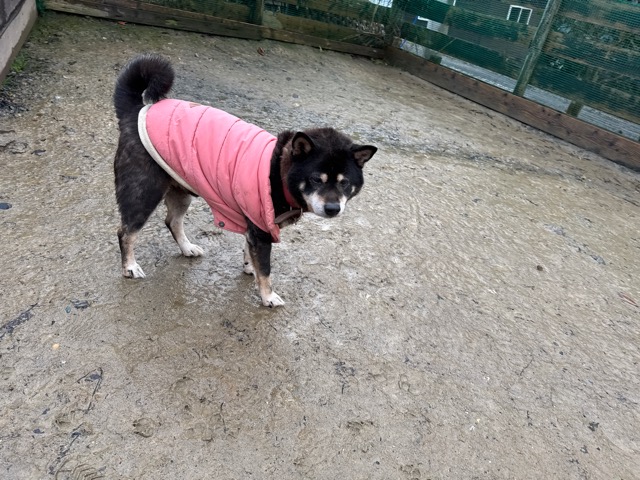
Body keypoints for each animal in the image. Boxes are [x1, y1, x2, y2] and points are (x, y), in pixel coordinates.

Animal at [113, 54, 377, 307]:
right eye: (315, 179)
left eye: (344, 182)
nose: (333, 208)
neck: (278, 172)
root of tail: (136, 111)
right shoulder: (262, 231)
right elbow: (267, 269)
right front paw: (268, 296)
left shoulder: (253, 226)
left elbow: (251, 254)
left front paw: (250, 268)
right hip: (144, 193)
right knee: (126, 232)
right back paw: (130, 266)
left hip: (180, 190)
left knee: (172, 222)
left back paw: (187, 248)